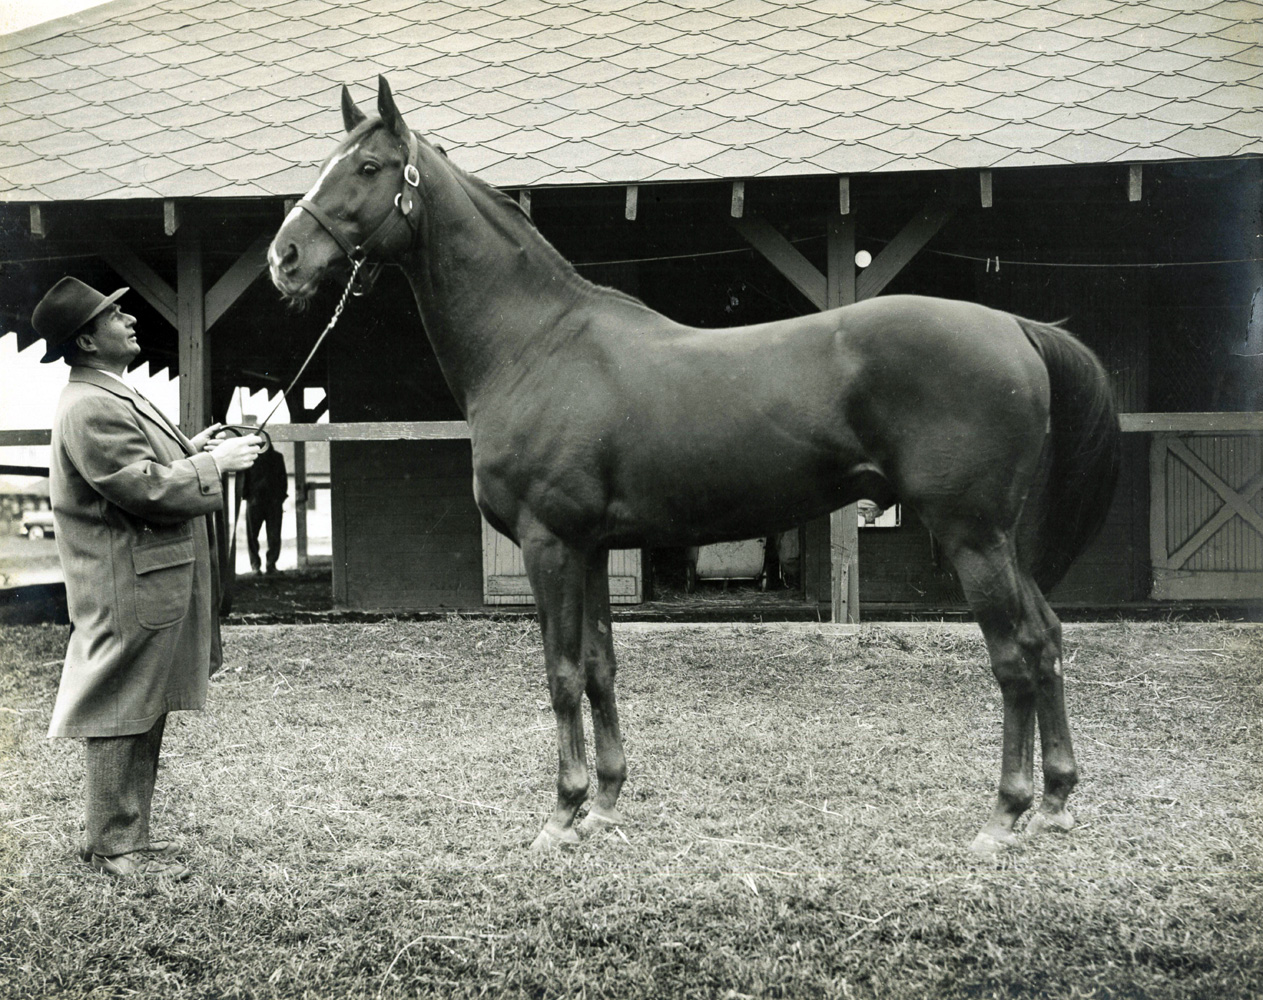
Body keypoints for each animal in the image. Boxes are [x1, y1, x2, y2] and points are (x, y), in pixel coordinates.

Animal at [263, 78, 1116, 853]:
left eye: (368, 166)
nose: (284, 260)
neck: (536, 344)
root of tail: (1014, 326)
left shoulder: (548, 544)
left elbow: (560, 673)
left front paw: (561, 814)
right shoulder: (591, 549)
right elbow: (599, 667)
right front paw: (605, 804)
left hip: (970, 536)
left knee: (1013, 656)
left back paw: (1004, 815)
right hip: (997, 538)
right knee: (1045, 639)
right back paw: (1054, 802)